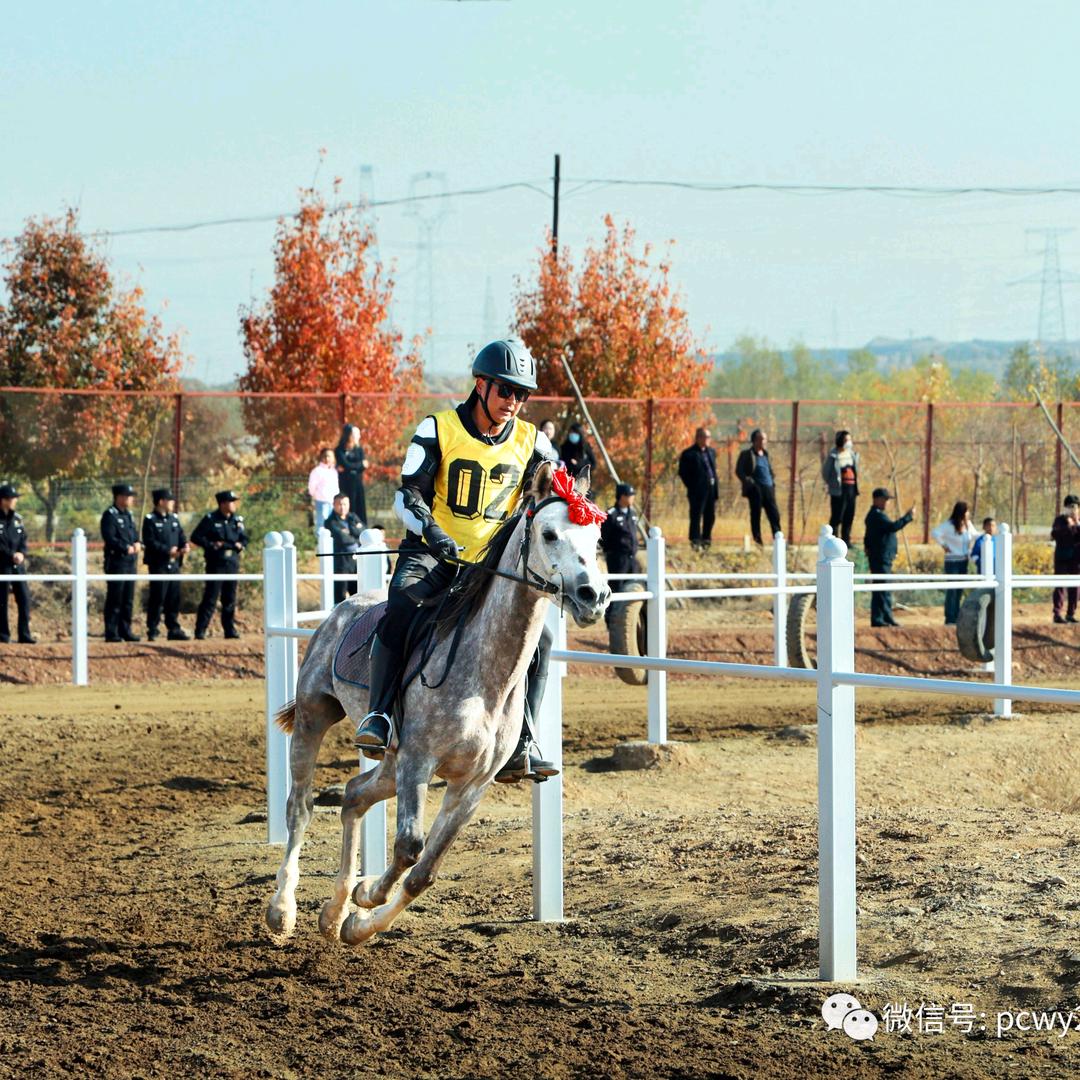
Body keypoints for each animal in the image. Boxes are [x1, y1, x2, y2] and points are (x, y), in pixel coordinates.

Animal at [265, 461, 609, 944]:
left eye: (595, 539)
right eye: (549, 534)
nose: (593, 596)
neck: (485, 678)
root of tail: (343, 606)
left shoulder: (473, 784)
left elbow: (423, 872)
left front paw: (359, 918)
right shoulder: (418, 762)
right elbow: (409, 847)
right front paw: (369, 895)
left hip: (389, 761)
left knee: (353, 795)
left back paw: (333, 912)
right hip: (317, 717)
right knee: (300, 806)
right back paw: (283, 908)